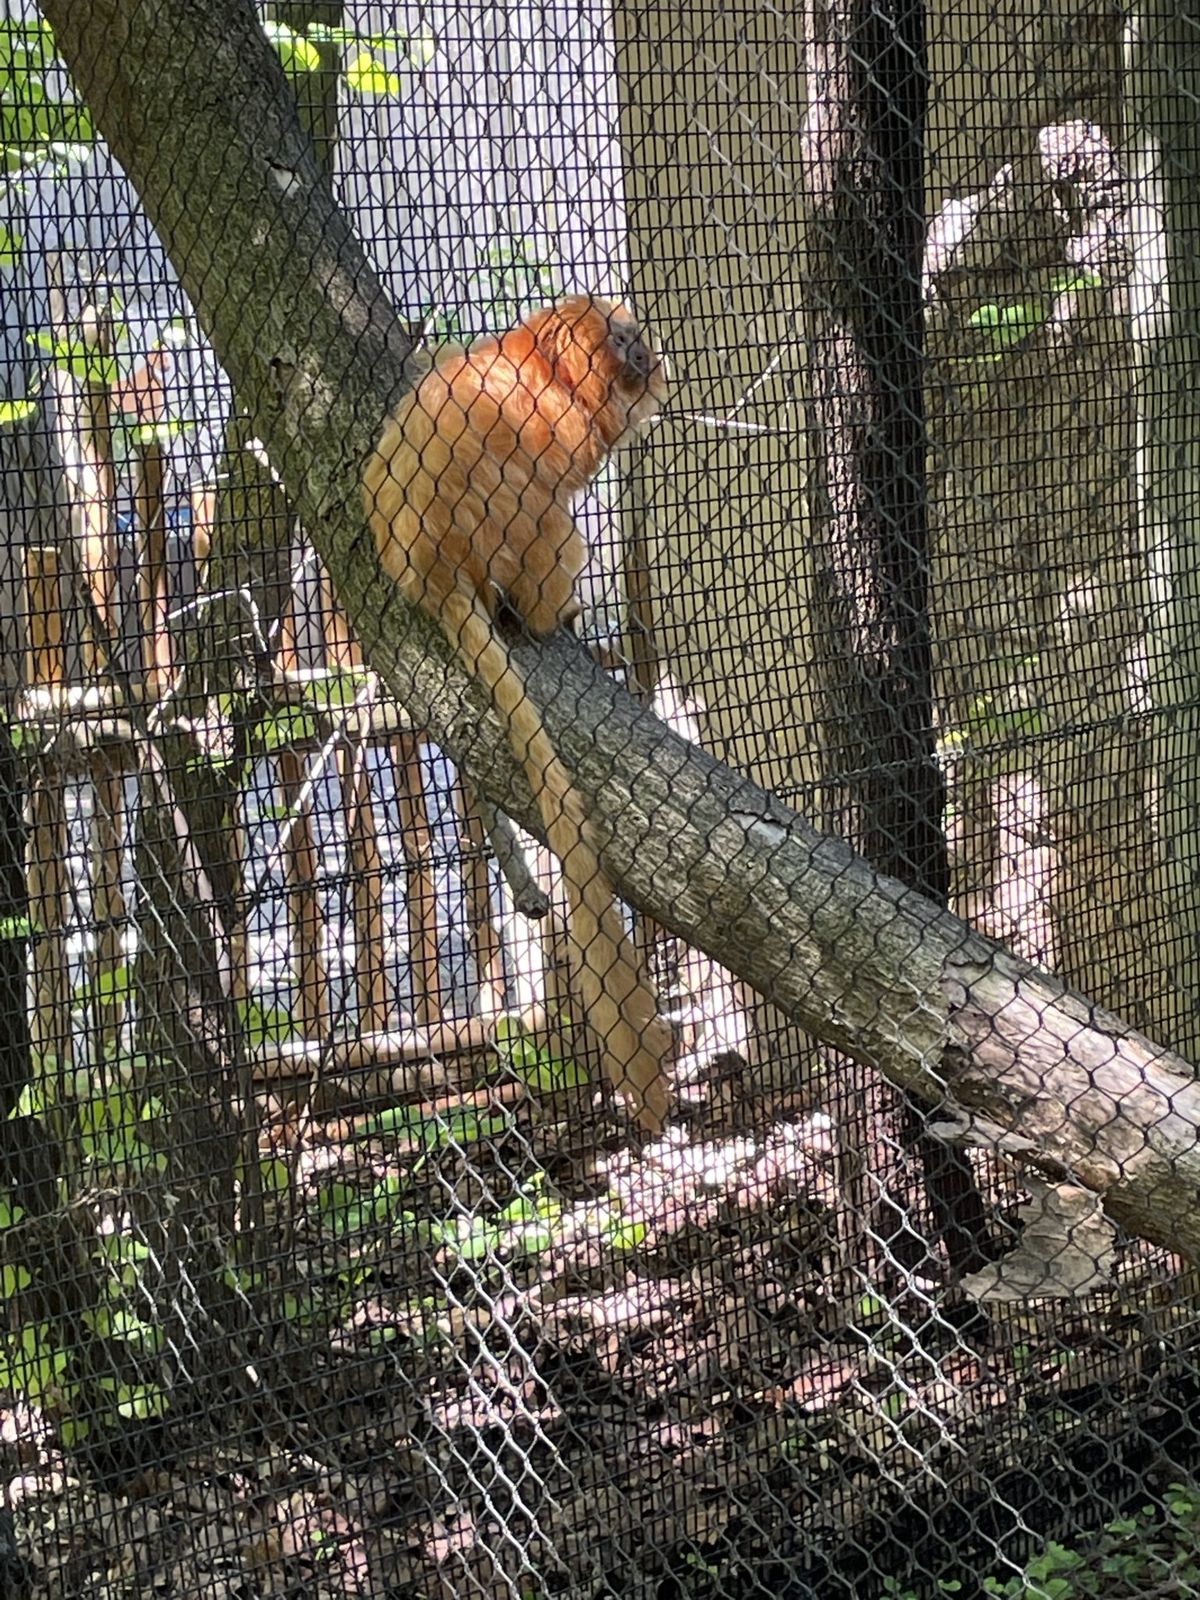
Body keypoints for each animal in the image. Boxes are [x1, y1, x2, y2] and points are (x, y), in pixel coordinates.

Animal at [362, 295, 672, 1132]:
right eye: (624, 338)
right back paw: (547, 613)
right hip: (498, 527)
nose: (646, 353)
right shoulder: (554, 429)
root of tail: (434, 567)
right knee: (546, 526)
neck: (541, 363)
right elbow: (551, 506)